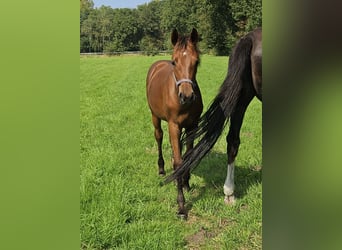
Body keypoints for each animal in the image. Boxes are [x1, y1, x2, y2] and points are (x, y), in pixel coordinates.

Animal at [145, 28, 203, 218]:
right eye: (174, 61)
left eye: (196, 61)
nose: (187, 96)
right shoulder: (174, 125)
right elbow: (178, 162)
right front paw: (181, 206)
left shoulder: (193, 125)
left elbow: (188, 156)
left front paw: (186, 183)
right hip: (155, 117)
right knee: (159, 137)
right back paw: (162, 168)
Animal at [166, 27, 262, 206]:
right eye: (174, 62)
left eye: (196, 62)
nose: (187, 96)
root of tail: (250, 38)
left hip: (242, 97)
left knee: (233, 140)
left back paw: (229, 192)